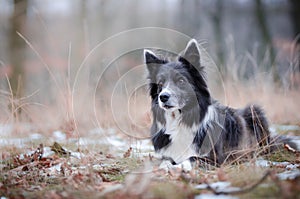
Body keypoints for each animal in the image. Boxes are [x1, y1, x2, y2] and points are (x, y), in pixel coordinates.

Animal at [144, 38, 274, 166]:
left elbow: (191, 158)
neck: (181, 121)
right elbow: (165, 161)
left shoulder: (215, 159)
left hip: (254, 111)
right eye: (160, 84)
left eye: (181, 81)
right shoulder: (166, 155)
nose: (163, 97)